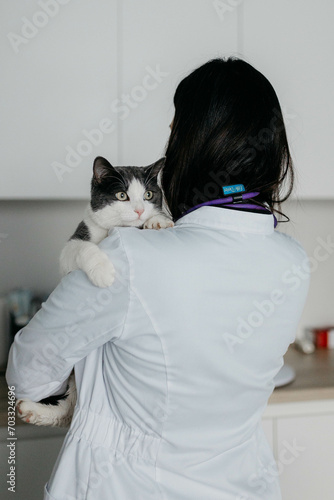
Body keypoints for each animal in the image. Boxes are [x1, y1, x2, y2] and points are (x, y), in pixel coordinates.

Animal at [16, 155, 174, 426]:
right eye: (122, 195)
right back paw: (32, 410)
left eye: (149, 194)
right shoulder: (71, 249)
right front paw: (102, 272)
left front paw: (158, 221)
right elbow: (84, 248)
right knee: (68, 406)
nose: (139, 210)